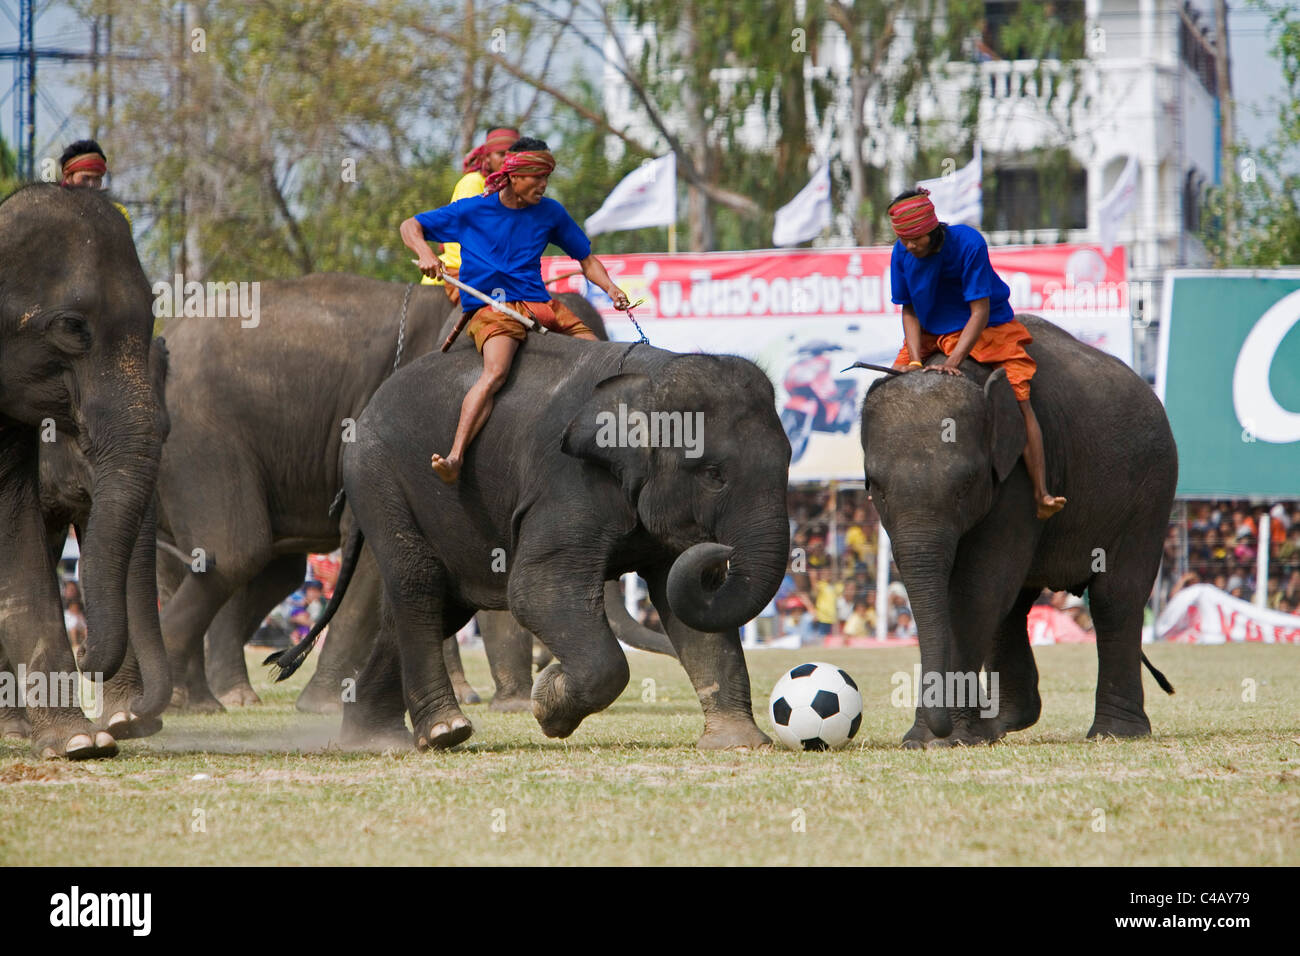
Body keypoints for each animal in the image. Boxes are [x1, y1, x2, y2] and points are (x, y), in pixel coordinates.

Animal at [274, 332, 790, 749]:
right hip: (380, 478)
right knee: (419, 586)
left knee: (437, 606)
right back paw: (445, 731)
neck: (649, 378)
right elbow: (537, 591)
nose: (721, 551)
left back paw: (372, 739)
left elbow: (686, 603)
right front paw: (547, 704)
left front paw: (738, 744)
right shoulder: (566, 482)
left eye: (789, 460)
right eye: (714, 474)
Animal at [863, 314, 1180, 749]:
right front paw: (934, 738)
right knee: (1015, 604)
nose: (933, 729)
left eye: (966, 485)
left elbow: (977, 587)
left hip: (1150, 492)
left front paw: (939, 740)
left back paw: (1114, 733)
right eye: (875, 486)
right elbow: (977, 589)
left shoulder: (1016, 477)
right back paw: (1003, 724)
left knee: (1116, 598)